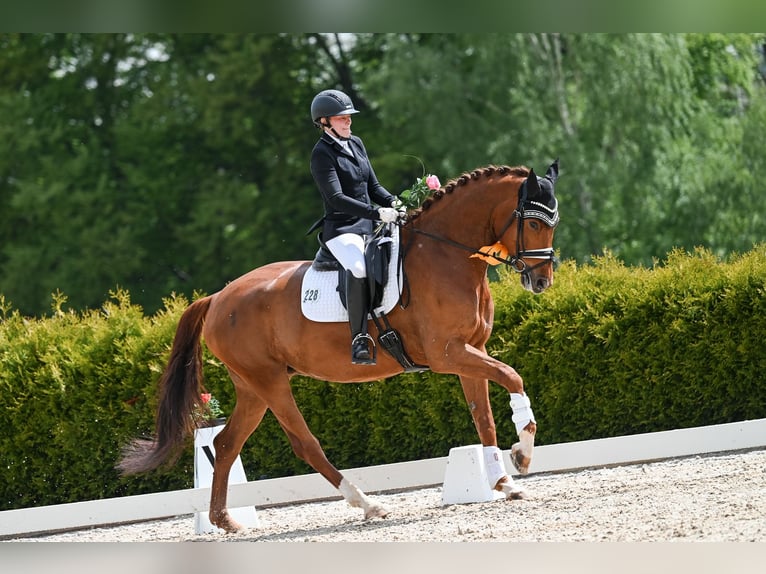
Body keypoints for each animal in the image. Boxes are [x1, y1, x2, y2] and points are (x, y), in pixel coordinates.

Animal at [121, 159, 564, 536]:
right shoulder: (448, 354)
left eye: (552, 223)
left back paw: (225, 521)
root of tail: (216, 298)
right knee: (304, 443)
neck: (445, 255)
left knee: (226, 444)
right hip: (268, 381)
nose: (541, 282)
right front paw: (523, 454)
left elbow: (483, 418)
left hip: (252, 387)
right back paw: (367, 503)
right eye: (534, 223)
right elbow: (513, 376)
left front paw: (505, 482)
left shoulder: (470, 351)